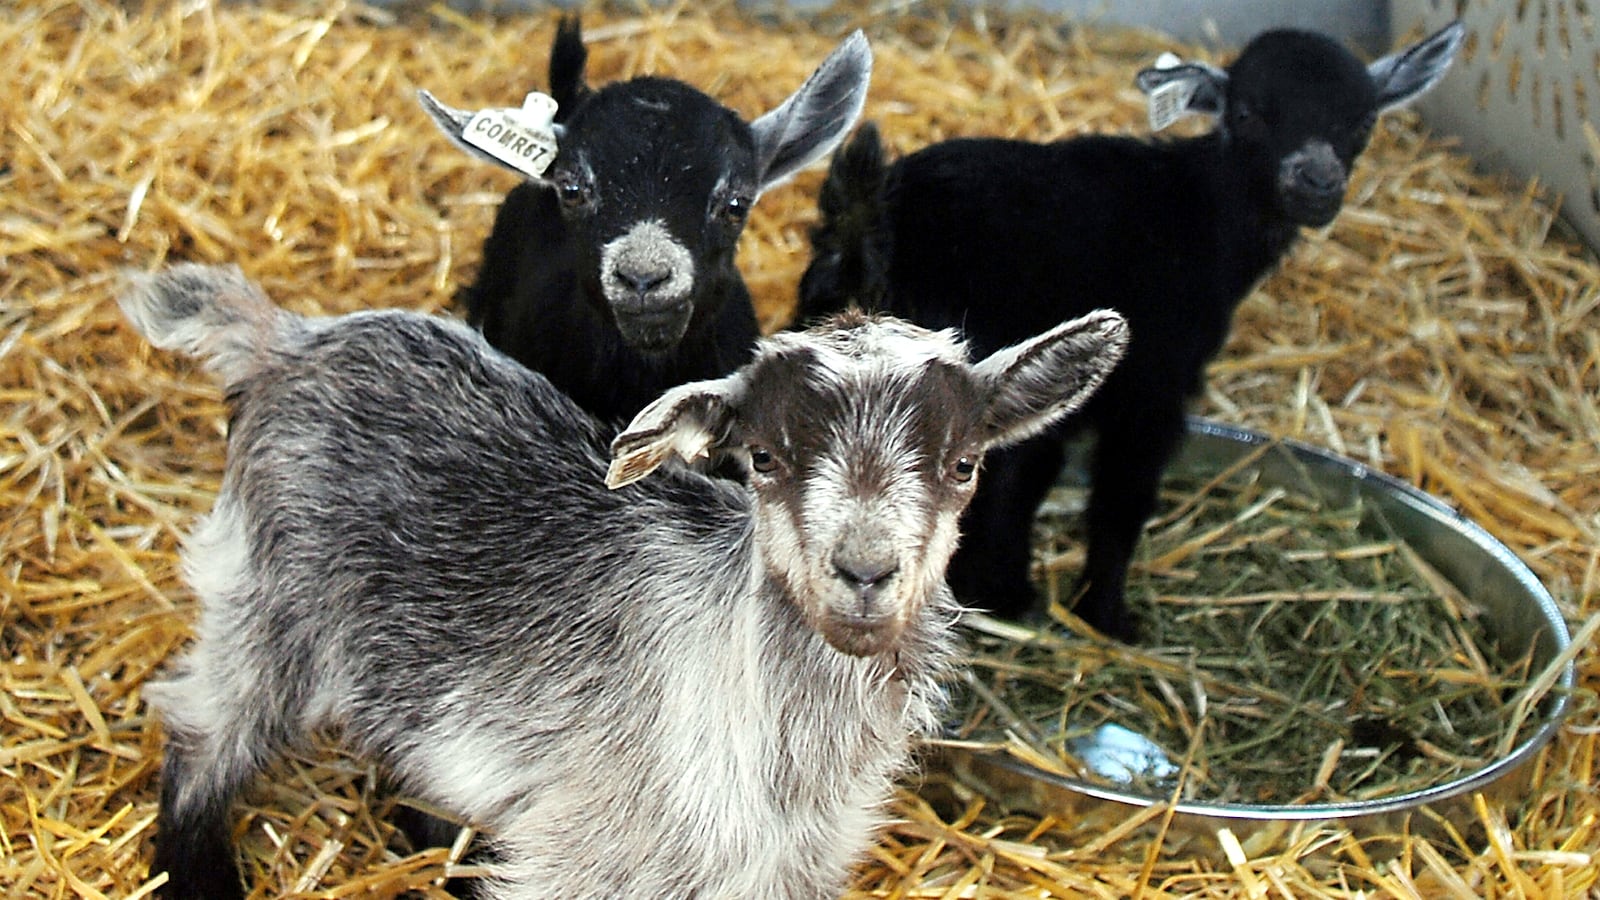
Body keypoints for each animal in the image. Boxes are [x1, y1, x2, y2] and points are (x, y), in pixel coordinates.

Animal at [125, 263, 1128, 899]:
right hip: (269, 595)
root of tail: (290, 341)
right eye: (763, 458)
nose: (865, 572)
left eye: (965, 464)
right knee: (200, 730)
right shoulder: (584, 856)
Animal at [798, 23, 1464, 641]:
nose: (1318, 183)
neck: (1203, 207)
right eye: (1248, 113)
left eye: (1364, 121)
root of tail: (874, 221)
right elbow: (1122, 494)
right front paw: (1104, 613)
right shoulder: (1154, 384)